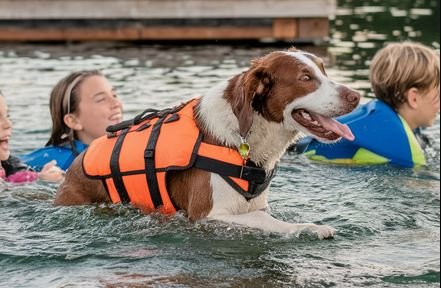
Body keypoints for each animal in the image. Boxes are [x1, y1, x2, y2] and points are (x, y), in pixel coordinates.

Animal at [55, 48, 360, 240]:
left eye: (324, 71)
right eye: (305, 78)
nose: (356, 96)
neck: (246, 131)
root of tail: (75, 166)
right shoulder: (208, 216)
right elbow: (267, 221)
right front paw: (309, 228)